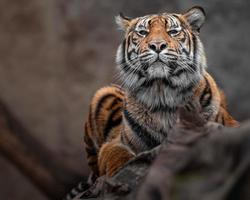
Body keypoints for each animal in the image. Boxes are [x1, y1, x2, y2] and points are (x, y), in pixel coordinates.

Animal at [82, 6, 238, 179]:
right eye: (143, 32)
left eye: (173, 31)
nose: (157, 45)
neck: (162, 92)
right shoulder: (115, 143)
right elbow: (117, 157)